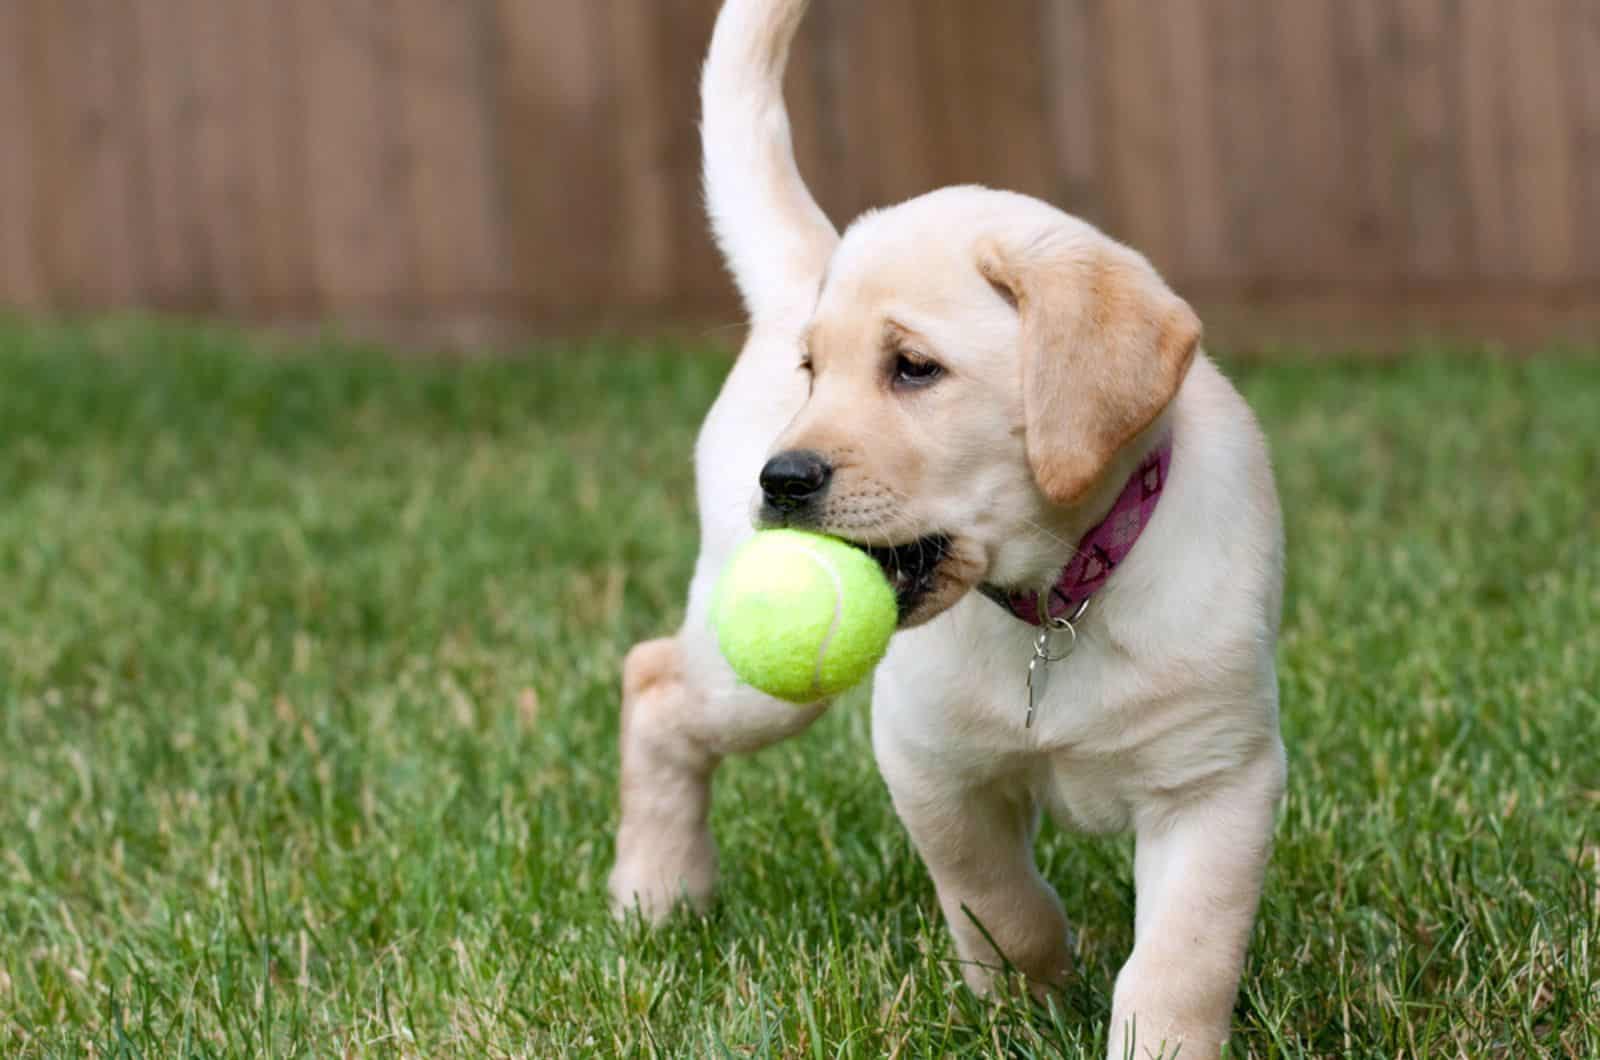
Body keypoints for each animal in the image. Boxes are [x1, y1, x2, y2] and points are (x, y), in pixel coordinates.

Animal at [608, 4, 1286, 1056]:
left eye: (914, 368)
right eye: (813, 371)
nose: (781, 479)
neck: (1056, 598)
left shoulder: (1218, 780)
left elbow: (1182, 959)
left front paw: (1152, 1035)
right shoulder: (930, 763)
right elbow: (996, 899)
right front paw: (1029, 993)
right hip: (755, 683)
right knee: (653, 684)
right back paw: (659, 891)